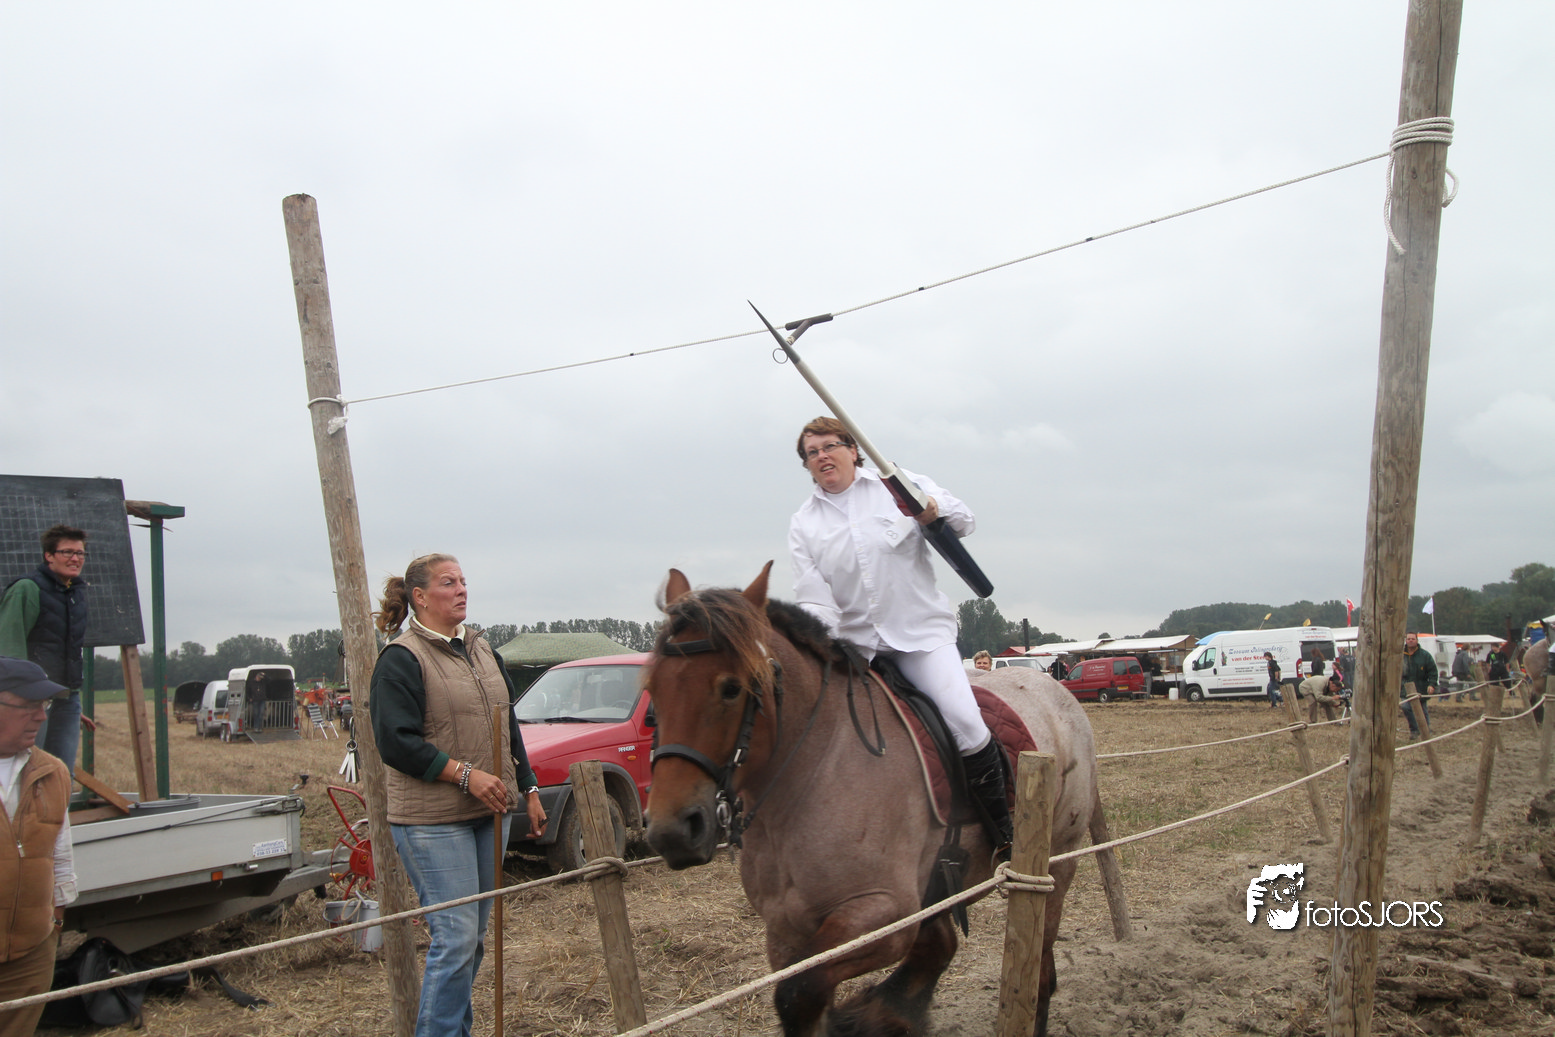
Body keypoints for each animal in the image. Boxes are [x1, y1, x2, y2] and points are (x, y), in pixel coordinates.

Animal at [644, 563, 1098, 1036]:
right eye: (652, 690)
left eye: (731, 688)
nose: (673, 830)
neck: (813, 772)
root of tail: (1056, 691)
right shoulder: (786, 931)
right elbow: (805, 997)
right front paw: (879, 1015)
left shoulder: (885, 916)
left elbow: (799, 992)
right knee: (943, 945)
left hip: (1056, 863)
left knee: (1040, 964)